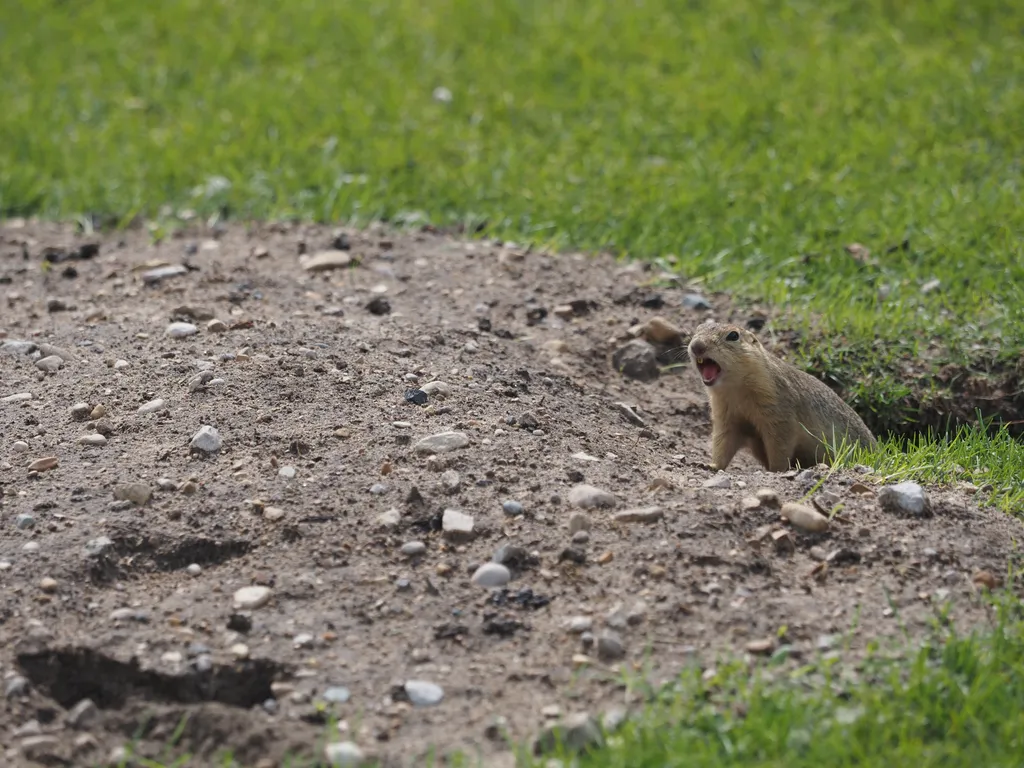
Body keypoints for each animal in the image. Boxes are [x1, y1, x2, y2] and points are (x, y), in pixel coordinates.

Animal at [684, 321, 876, 473]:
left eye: (733, 335)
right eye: (698, 328)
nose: (696, 346)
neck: (735, 389)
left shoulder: (778, 410)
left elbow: (780, 445)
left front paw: (776, 470)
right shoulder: (726, 417)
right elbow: (723, 443)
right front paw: (709, 465)